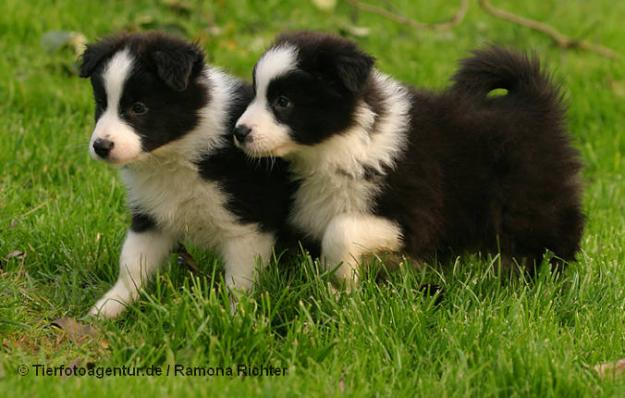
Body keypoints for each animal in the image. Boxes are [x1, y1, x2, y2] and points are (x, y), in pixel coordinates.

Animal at [78, 31, 292, 318]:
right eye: (101, 104)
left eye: (139, 108)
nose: (101, 146)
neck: (175, 155)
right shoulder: (152, 214)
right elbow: (132, 263)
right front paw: (108, 307)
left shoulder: (247, 223)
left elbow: (240, 281)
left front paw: (235, 317)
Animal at [233, 31, 580, 286]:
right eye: (256, 95)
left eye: (283, 101)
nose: (239, 131)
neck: (336, 146)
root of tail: (533, 100)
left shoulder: (414, 215)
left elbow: (342, 229)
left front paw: (341, 282)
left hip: (529, 199)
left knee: (556, 235)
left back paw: (548, 283)